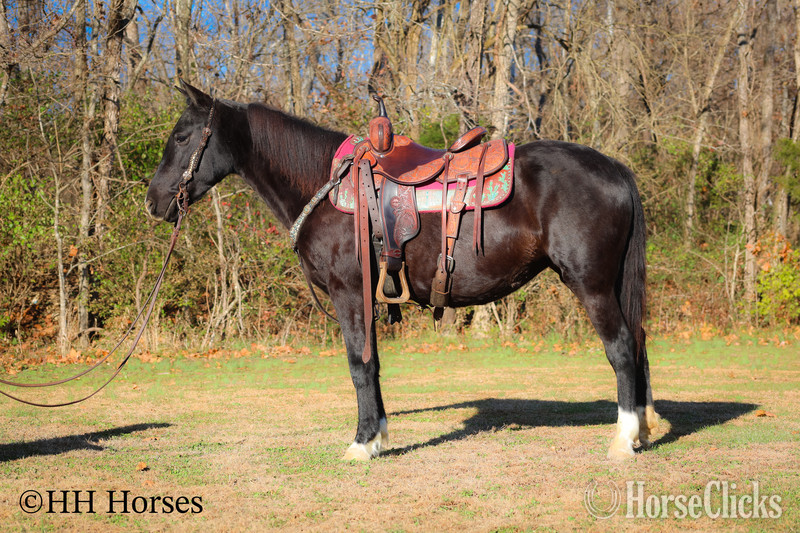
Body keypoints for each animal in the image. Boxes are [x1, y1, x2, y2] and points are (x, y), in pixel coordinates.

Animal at [145, 81, 658, 461]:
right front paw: (378, 437)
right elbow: (372, 364)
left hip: (591, 285)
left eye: (183, 137)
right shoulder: (367, 296)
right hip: (613, 285)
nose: (153, 202)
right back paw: (644, 428)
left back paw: (623, 439)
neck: (326, 187)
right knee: (638, 343)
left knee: (620, 348)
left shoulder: (349, 292)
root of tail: (615, 168)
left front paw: (361, 444)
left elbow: (358, 364)